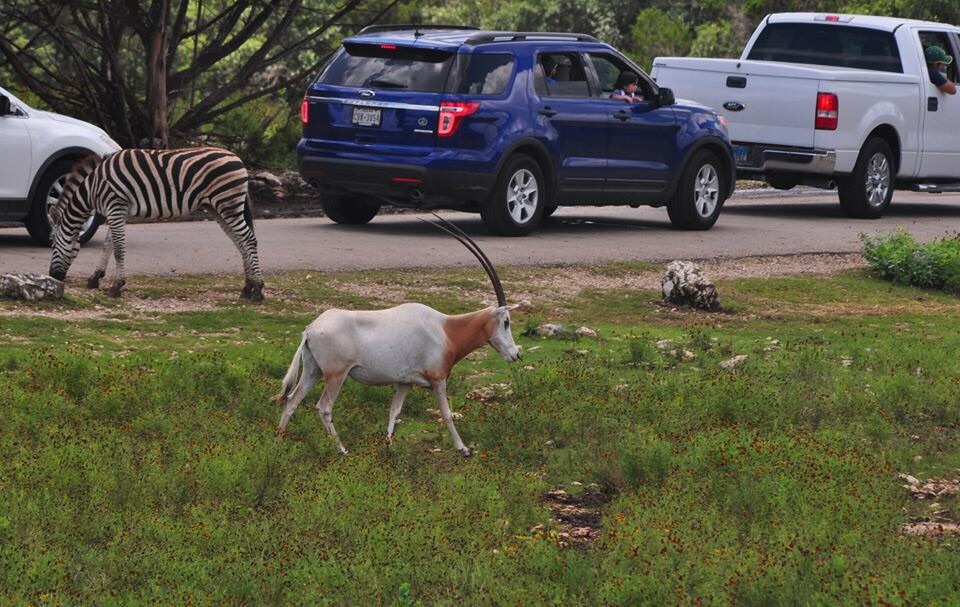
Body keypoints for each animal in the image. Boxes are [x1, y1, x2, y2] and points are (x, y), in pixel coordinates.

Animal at [48, 147, 265, 301]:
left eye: (52, 245)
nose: (52, 276)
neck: (94, 186)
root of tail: (237, 158)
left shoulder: (115, 207)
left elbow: (118, 249)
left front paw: (117, 286)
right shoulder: (118, 211)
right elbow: (108, 245)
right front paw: (95, 277)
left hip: (227, 204)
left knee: (248, 240)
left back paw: (258, 290)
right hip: (218, 207)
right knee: (240, 242)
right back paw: (247, 288)